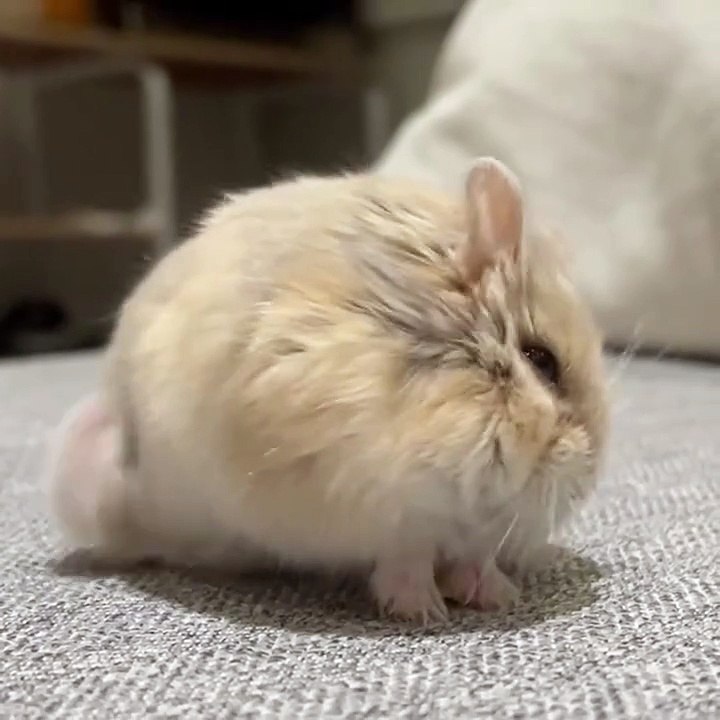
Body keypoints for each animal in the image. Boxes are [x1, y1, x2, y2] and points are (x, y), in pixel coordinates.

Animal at [46, 158, 608, 623]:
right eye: (542, 359)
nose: (586, 477)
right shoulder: (381, 504)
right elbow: (407, 557)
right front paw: (424, 614)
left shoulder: (478, 521)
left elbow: (476, 555)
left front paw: (497, 597)